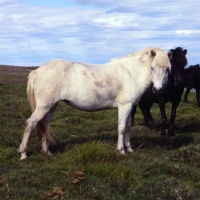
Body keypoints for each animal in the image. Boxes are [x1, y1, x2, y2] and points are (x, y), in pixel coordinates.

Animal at [17, 47, 172, 159]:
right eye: (152, 67)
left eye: (167, 69)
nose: (158, 90)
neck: (131, 73)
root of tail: (38, 70)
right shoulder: (124, 106)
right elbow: (121, 128)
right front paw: (121, 150)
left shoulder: (130, 107)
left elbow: (128, 128)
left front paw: (129, 149)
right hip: (44, 107)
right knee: (30, 124)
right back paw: (23, 153)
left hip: (50, 107)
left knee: (43, 125)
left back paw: (46, 152)